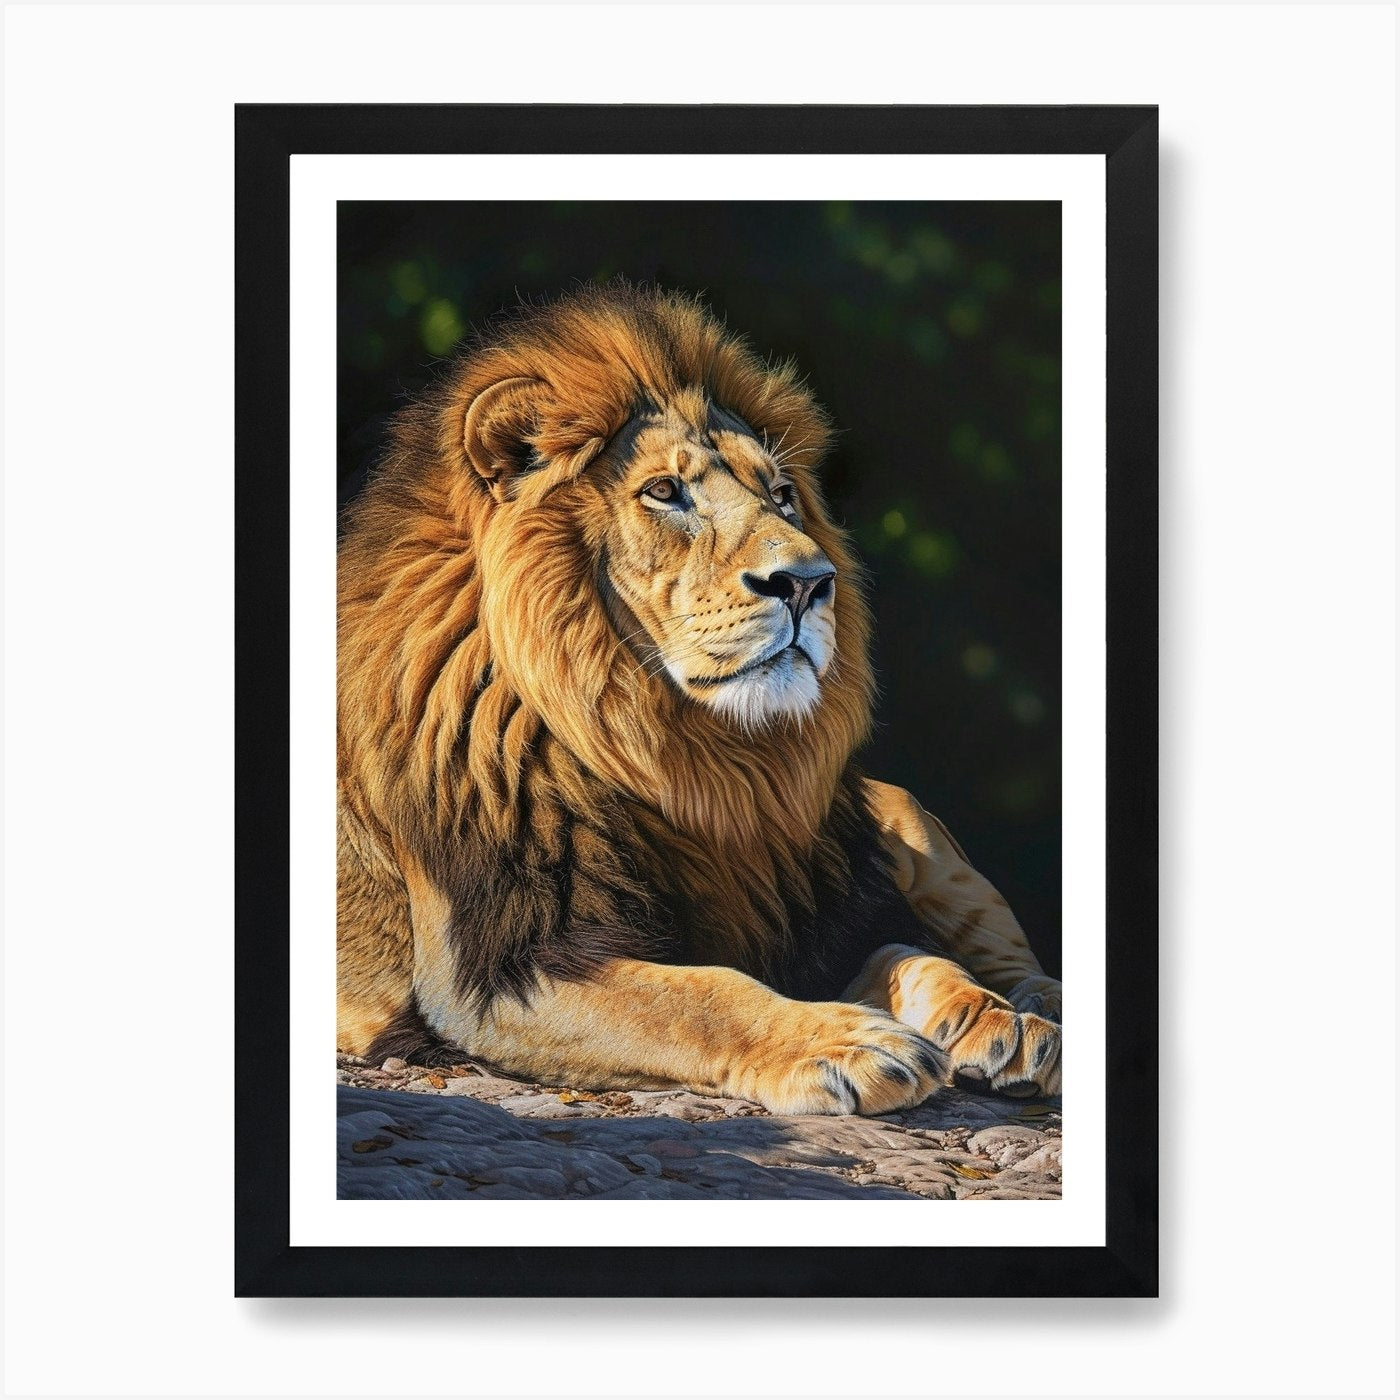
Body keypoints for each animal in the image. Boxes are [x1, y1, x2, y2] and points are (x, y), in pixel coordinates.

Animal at [337, 282, 1061, 1116]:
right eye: (664, 492)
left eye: (782, 495)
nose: (809, 582)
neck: (699, 765)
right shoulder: (503, 970)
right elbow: (704, 995)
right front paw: (851, 1041)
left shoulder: (817, 920)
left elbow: (914, 952)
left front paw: (982, 1015)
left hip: (917, 824)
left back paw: (1032, 1015)